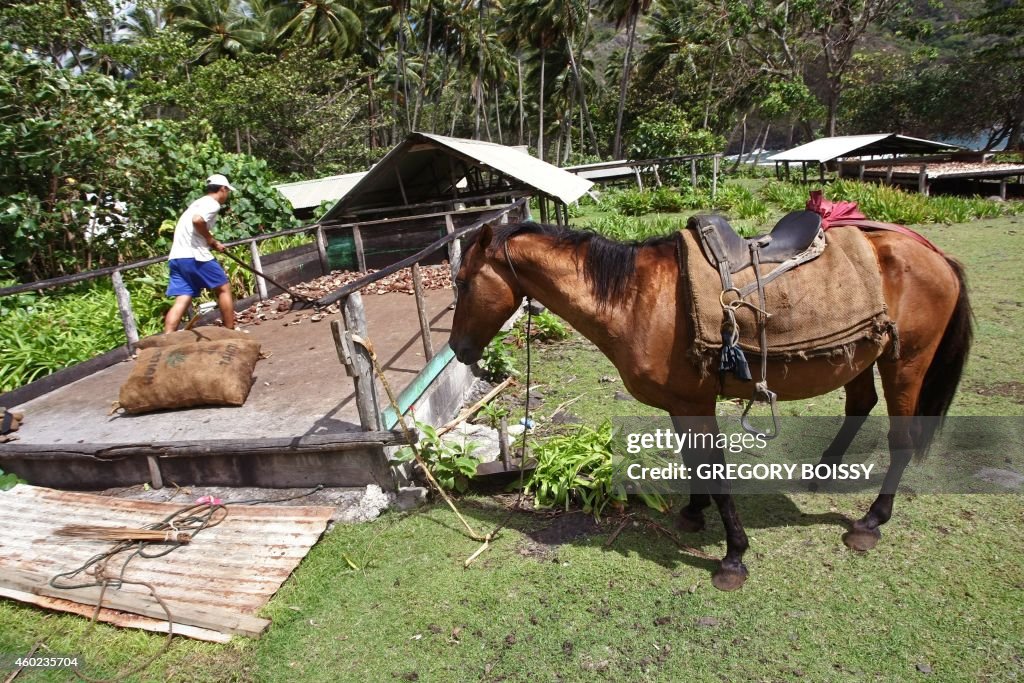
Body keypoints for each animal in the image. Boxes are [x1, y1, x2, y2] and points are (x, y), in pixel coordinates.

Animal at [446, 218, 966, 589]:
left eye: (464, 283)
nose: (459, 350)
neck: (636, 299)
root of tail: (934, 254)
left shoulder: (695, 401)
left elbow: (713, 470)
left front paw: (733, 556)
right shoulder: (683, 403)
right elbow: (695, 462)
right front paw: (695, 514)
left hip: (905, 363)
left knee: (900, 438)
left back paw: (871, 522)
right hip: (859, 356)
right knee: (860, 405)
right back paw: (824, 474)